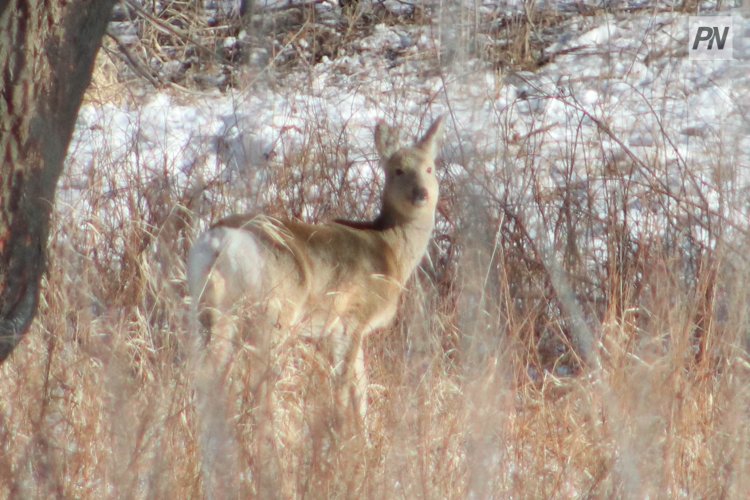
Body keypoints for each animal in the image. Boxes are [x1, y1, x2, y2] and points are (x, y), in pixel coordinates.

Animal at [189, 115, 446, 416]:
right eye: (398, 170)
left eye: (429, 168)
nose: (421, 193)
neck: (390, 251)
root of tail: (221, 242)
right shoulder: (352, 315)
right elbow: (349, 385)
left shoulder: (335, 329)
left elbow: (360, 386)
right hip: (273, 309)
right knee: (259, 380)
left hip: (213, 306)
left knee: (208, 370)